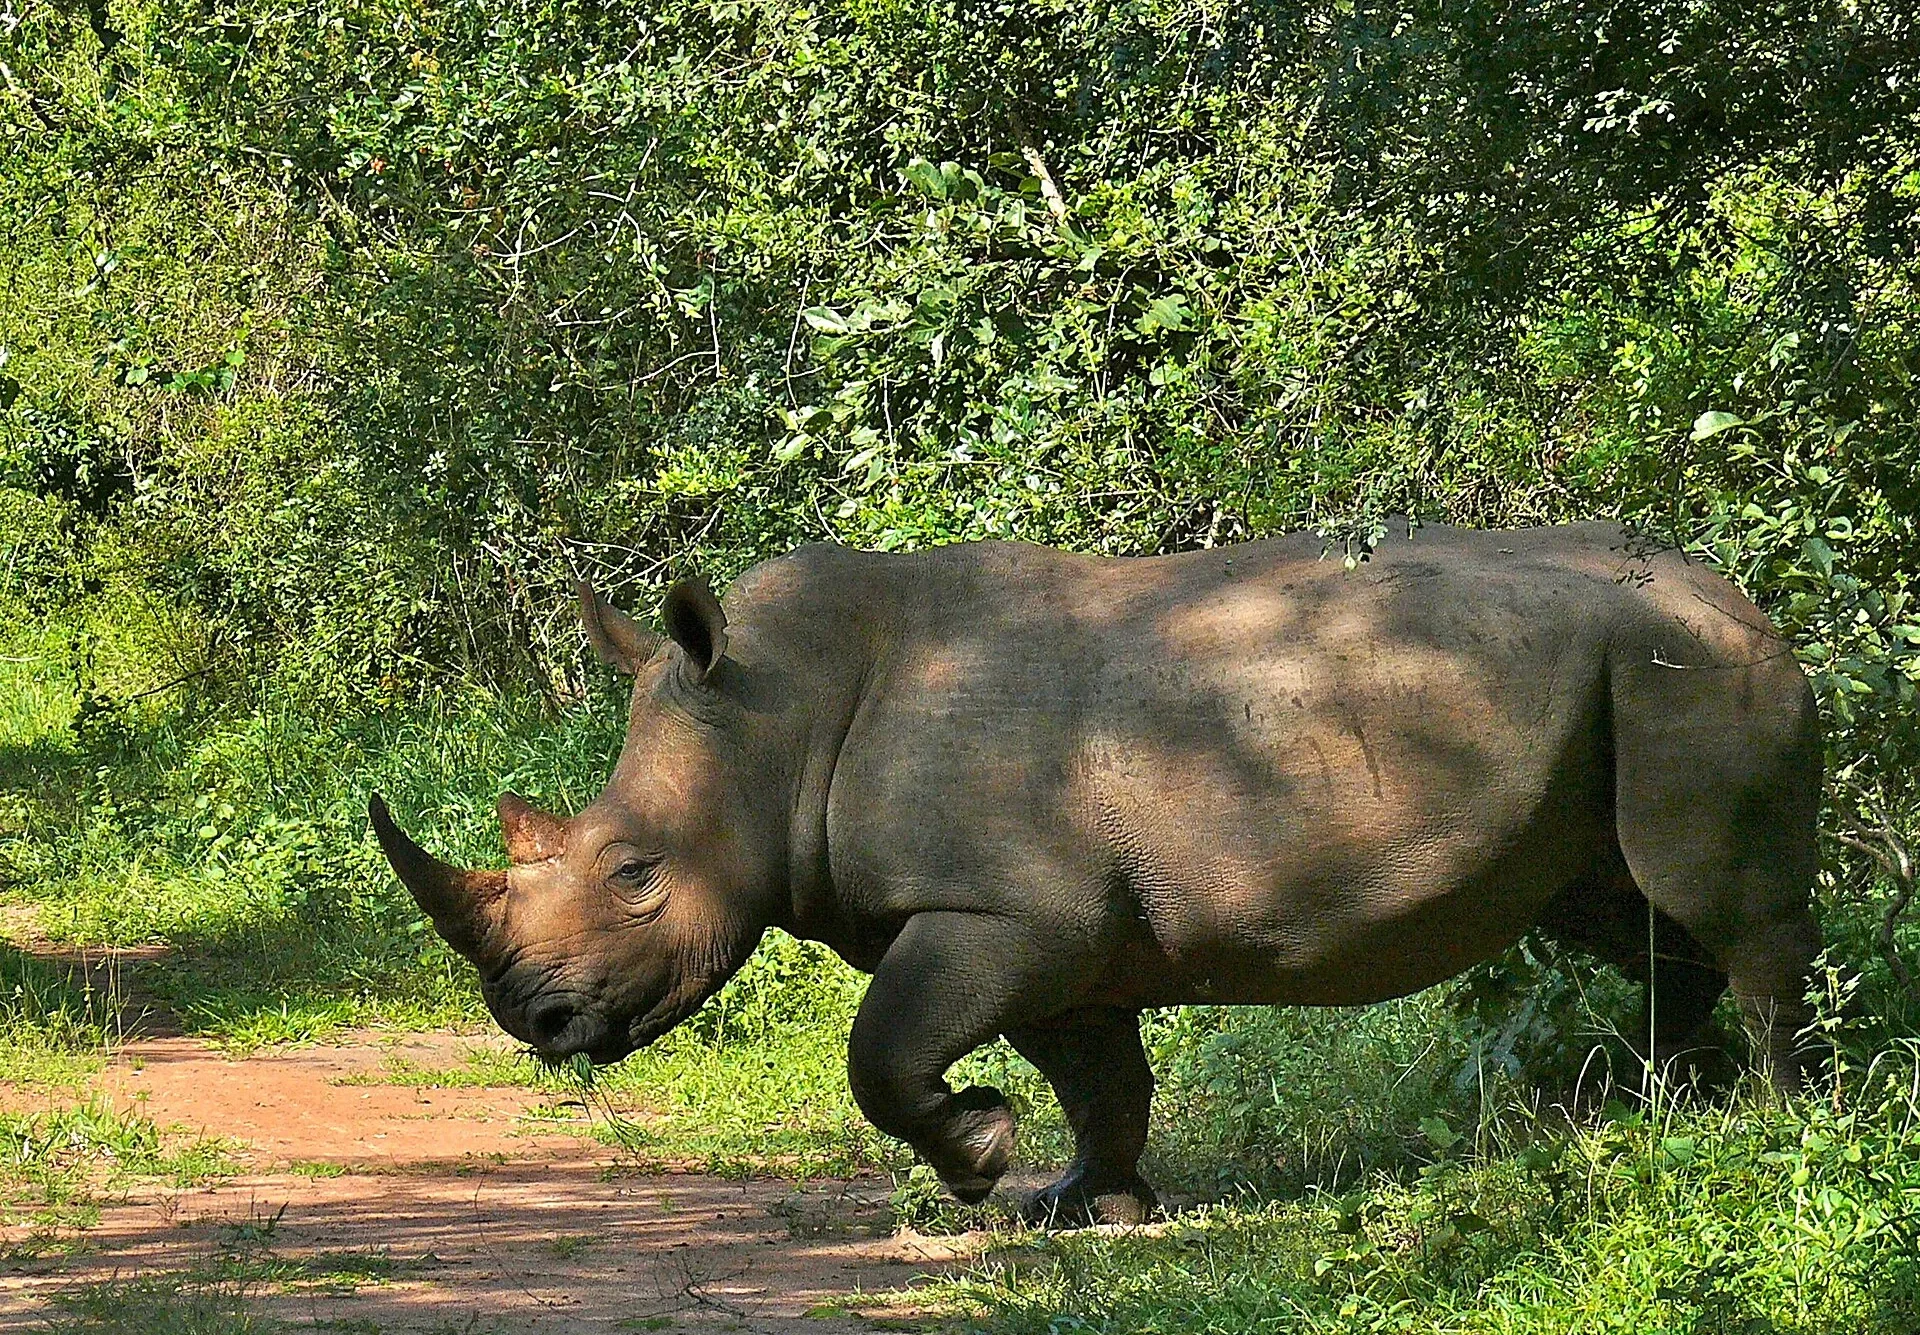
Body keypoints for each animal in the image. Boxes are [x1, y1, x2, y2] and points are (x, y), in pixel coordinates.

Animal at [369, 522, 1821, 1224]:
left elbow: (882, 1050)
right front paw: (1081, 1203)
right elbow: (1099, 1075)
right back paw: (1651, 1105)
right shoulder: (1058, 932)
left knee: (1717, 904)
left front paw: (978, 1157)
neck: (774, 716)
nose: (535, 1019)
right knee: (1626, 912)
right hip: (1626, 677)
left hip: (1688, 667)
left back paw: (1764, 1118)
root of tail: (1746, 593)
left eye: (633, 871)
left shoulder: (1004, 908)